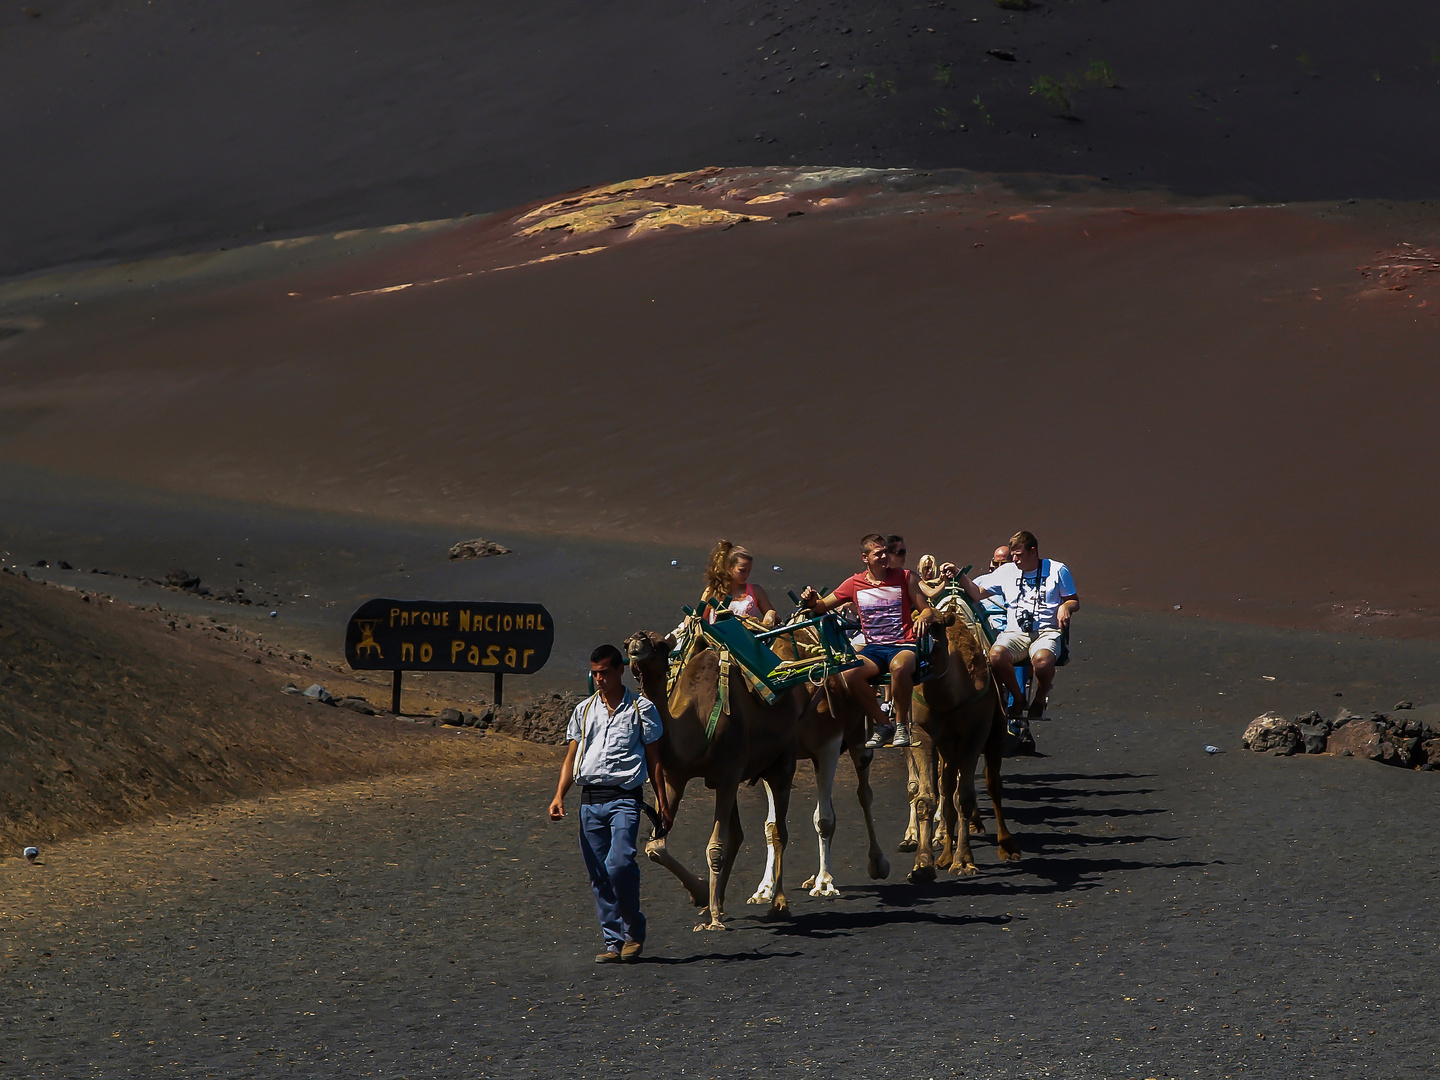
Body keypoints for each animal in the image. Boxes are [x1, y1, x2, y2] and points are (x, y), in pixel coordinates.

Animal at [622, 630, 806, 933]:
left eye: (661, 646)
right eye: (626, 645)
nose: (637, 642)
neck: (697, 720)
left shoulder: (729, 772)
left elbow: (715, 847)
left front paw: (715, 919)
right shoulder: (675, 779)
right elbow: (654, 847)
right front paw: (701, 896)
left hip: (783, 760)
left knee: (779, 831)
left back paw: (778, 904)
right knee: (738, 833)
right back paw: (715, 902)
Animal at [904, 613, 1019, 881]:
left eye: (935, 629)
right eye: (908, 631)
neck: (949, 698)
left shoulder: (975, 735)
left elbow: (964, 797)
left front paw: (964, 862)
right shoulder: (922, 734)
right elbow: (927, 798)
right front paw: (923, 864)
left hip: (995, 736)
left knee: (993, 784)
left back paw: (1007, 846)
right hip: (948, 750)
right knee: (946, 788)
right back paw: (944, 857)